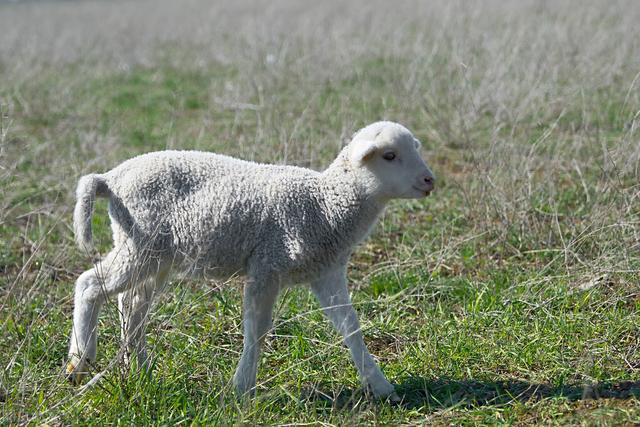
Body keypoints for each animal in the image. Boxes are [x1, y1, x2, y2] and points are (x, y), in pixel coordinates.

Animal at [66, 120, 436, 402]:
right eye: (390, 155)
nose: (430, 180)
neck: (326, 203)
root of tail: (111, 178)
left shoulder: (326, 270)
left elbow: (351, 327)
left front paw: (381, 386)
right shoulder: (266, 266)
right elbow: (257, 328)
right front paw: (243, 387)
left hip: (153, 254)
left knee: (131, 305)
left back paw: (139, 370)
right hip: (139, 243)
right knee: (90, 285)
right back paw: (79, 361)